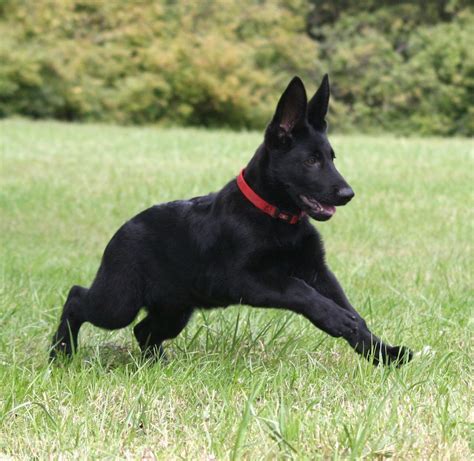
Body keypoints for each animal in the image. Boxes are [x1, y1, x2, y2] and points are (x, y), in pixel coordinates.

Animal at [51, 75, 412, 366]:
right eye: (311, 161)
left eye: (332, 158)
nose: (348, 193)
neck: (276, 217)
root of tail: (121, 231)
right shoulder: (245, 279)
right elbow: (300, 291)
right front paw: (337, 321)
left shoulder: (317, 271)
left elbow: (353, 311)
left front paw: (382, 353)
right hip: (119, 302)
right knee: (77, 297)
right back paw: (61, 353)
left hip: (175, 308)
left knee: (144, 330)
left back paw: (156, 365)